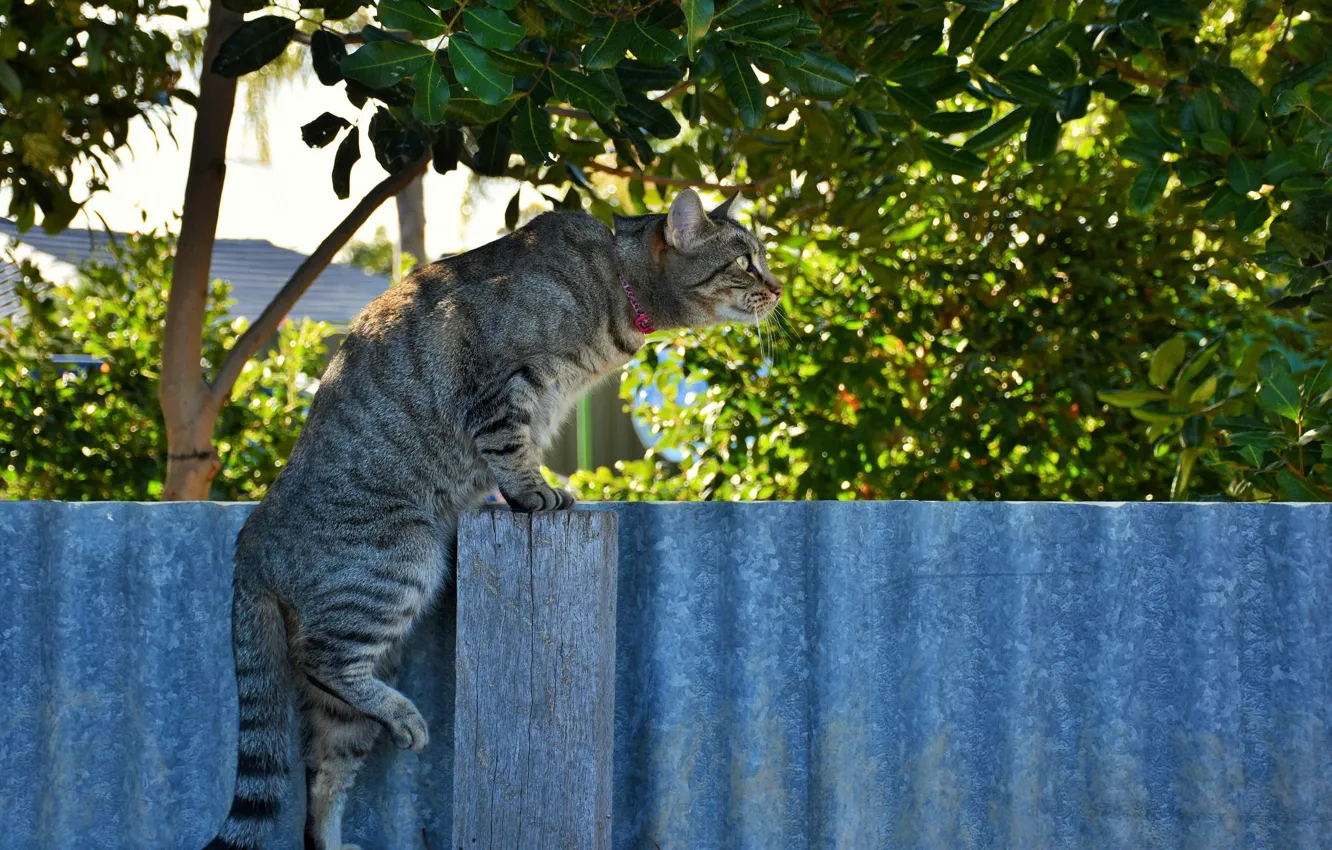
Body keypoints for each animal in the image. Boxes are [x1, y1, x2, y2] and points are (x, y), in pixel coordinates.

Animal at [203, 187, 783, 850]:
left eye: (763, 258)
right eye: (744, 262)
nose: (778, 288)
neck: (616, 283)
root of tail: (251, 537)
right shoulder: (500, 389)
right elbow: (511, 450)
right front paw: (535, 495)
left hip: (360, 682)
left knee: (323, 767)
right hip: (400, 560)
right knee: (319, 660)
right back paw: (407, 716)